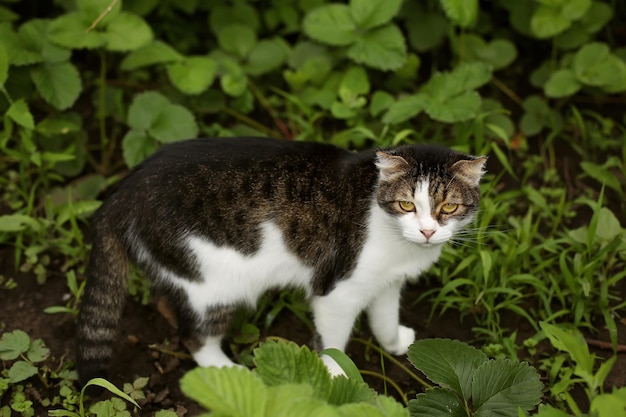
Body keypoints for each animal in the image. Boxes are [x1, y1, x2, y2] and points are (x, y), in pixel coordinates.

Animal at [75, 136, 486, 384]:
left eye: (448, 207)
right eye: (406, 205)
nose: (427, 232)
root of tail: (122, 191)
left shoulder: (387, 283)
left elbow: (384, 318)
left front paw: (395, 343)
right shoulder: (338, 292)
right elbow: (333, 340)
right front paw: (336, 375)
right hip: (216, 286)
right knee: (195, 338)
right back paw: (230, 371)